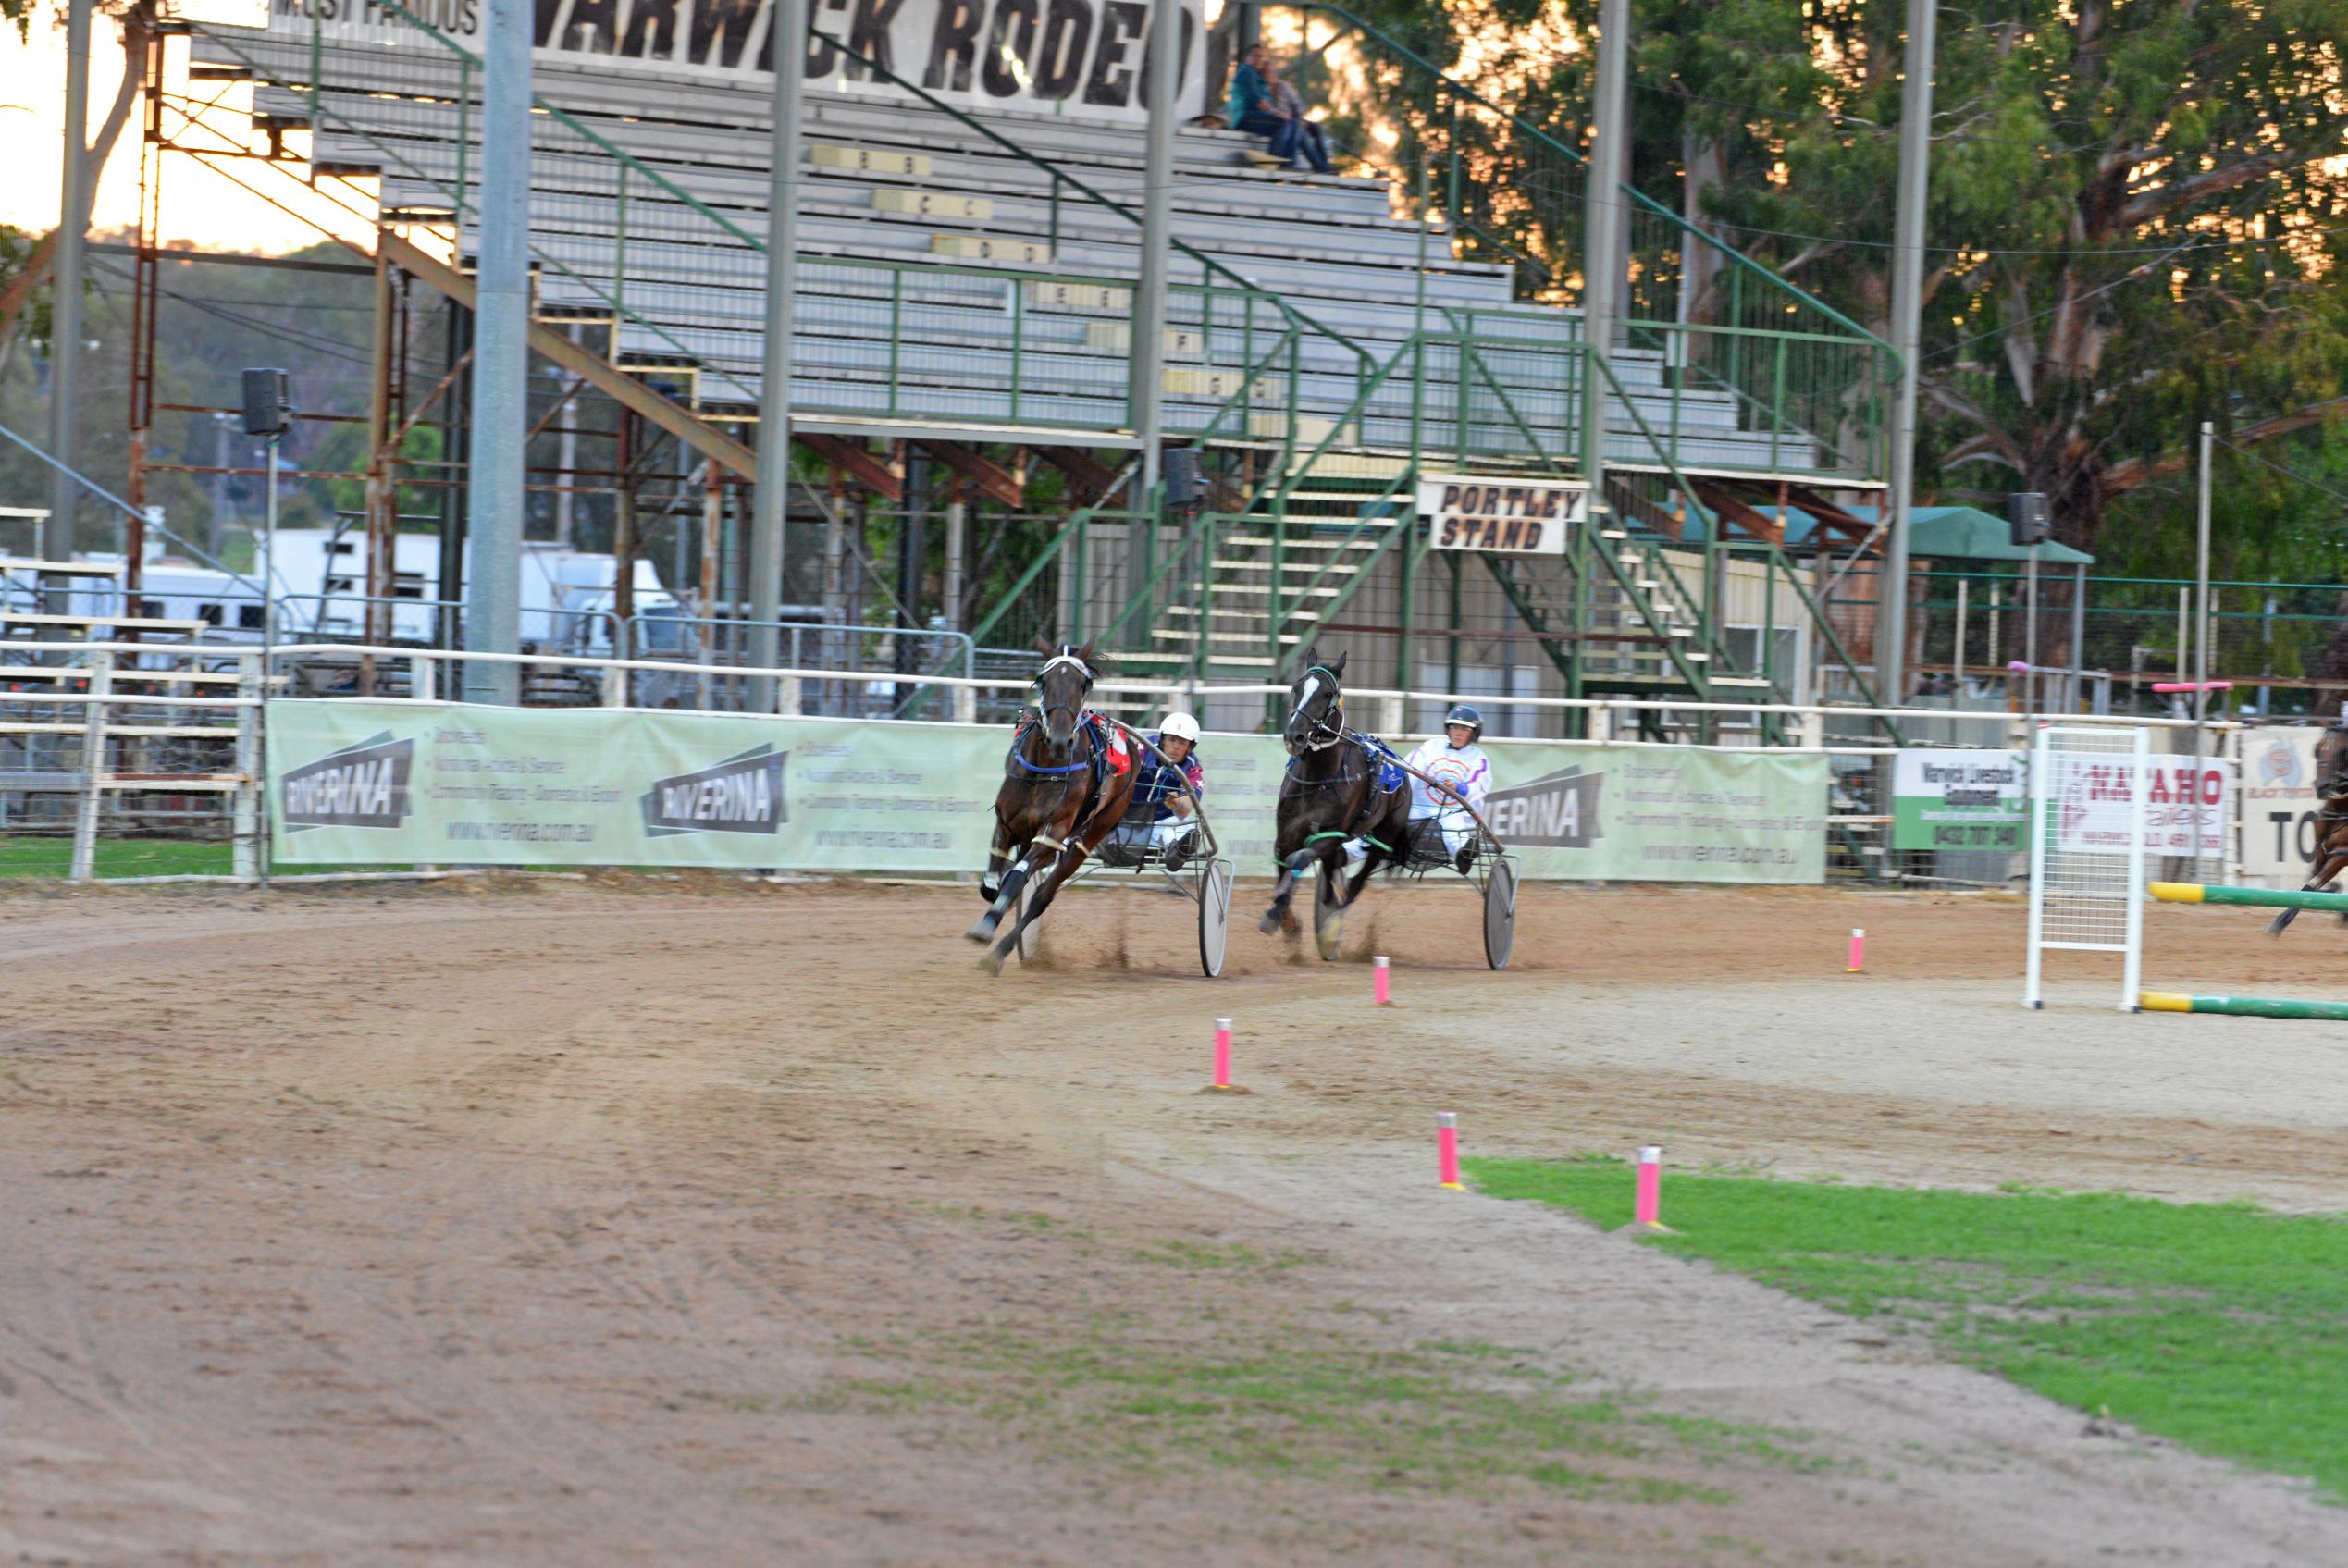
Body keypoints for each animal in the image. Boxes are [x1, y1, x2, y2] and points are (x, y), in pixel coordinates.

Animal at [958, 643, 1131, 971]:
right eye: (1042, 681)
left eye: (1084, 684)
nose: (1060, 740)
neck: (1045, 768)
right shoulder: (1005, 825)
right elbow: (993, 882)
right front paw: (993, 906)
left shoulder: (1052, 834)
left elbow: (1017, 878)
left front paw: (987, 927)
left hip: (1088, 837)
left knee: (1042, 895)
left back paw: (999, 953)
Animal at [1267, 643, 1408, 938]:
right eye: (1296, 688)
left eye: (1327, 693)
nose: (1294, 736)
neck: (1318, 777)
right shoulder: (1286, 833)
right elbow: (1283, 865)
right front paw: (1287, 921)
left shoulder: (1329, 835)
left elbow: (1300, 859)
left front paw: (1276, 914)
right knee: (1335, 869)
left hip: (1386, 834)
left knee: (1359, 878)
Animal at [2254, 718, 2348, 938]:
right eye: (2318, 749)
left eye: (2343, 751)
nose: (2322, 787)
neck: (2340, 811)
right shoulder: (2320, 852)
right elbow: (2309, 885)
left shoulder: (2341, 856)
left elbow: (2309, 887)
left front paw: (2279, 923)